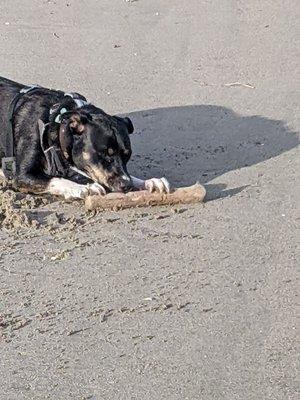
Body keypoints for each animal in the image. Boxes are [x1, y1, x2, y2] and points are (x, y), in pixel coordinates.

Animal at [0, 76, 169, 198]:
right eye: (105, 155)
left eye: (127, 155)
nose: (126, 186)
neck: (54, 120)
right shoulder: (22, 176)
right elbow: (55, 179)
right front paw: (83, 188)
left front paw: (149, 182)